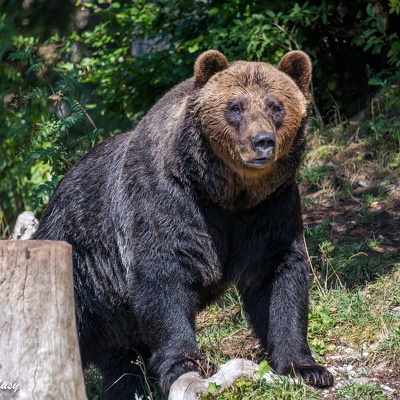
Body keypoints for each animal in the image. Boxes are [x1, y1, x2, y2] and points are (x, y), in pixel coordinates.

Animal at [32, 49, 334, 396]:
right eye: (236, 107)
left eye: (276, 106)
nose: (262, 142)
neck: (228, 194)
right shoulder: (171, 199)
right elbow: (164, 274)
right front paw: (186, 363)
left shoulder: (271, 207)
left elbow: (279, 277)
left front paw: (307, 368)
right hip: (82, 275)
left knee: (121, 361)